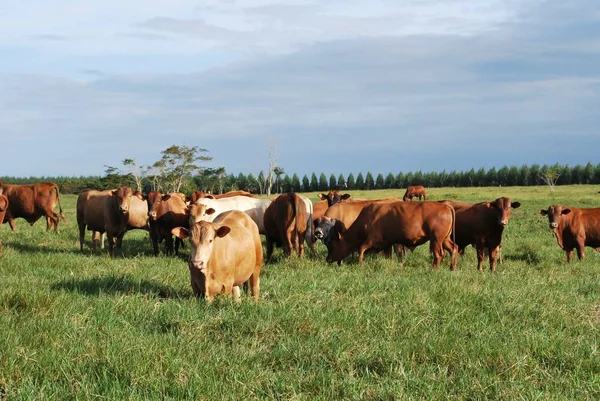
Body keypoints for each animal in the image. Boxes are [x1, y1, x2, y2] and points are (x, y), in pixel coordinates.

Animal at [326, 200, 458, 268]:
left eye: (332, 245)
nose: (328, 259)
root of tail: (445, 205)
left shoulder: (373, 239)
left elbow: (361, 248)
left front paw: (360, 262)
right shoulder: (387, 242)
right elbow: (388, 255)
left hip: (436, 239)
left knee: (439, 254)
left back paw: (433, 269)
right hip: (444, 239)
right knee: (453, 248)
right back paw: (452, 268)